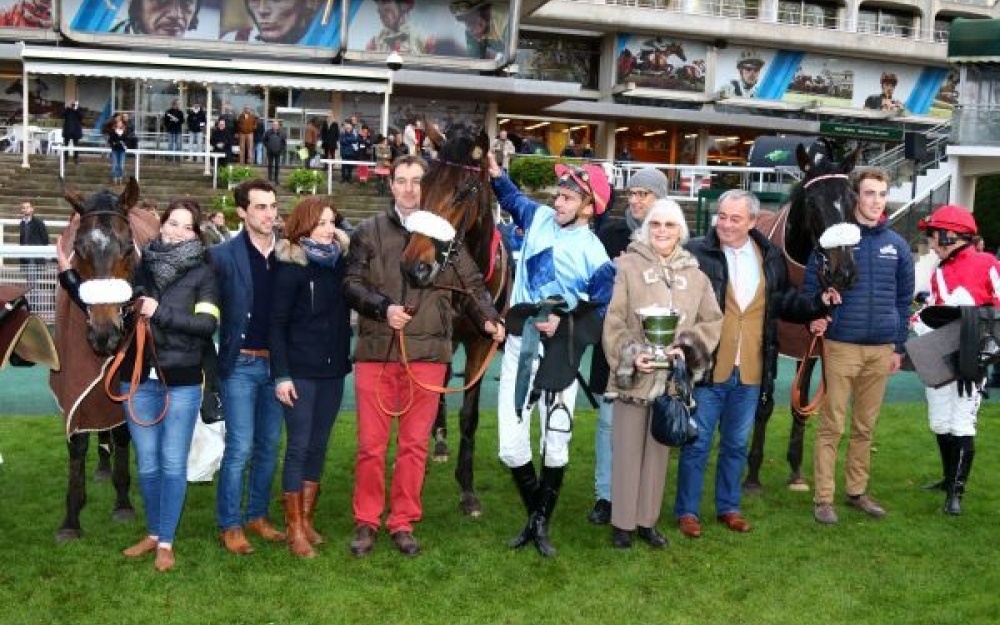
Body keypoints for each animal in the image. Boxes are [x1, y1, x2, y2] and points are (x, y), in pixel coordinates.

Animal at [47, 177, 159, 540]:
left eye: (127, 248)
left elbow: (122, 430)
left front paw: (123, 502)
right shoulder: (75, 376)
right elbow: (77, 440)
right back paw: (102, 465)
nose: (104, 333)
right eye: (79, 248)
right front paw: (71, 517)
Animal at [396, 124, 508, 516]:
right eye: (423, 184)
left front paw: (468, 489)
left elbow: (470, 415)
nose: (413, 266)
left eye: (462, 191)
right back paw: (440, 439)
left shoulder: (483, 340)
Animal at [744, 138, 860, 492]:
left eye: (853, 199)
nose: (843, 272)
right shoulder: (766, 341)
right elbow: (764, 403)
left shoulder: (807, 345)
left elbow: (802, 403)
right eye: (812, 202)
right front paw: (752, 473)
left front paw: (795, 469)